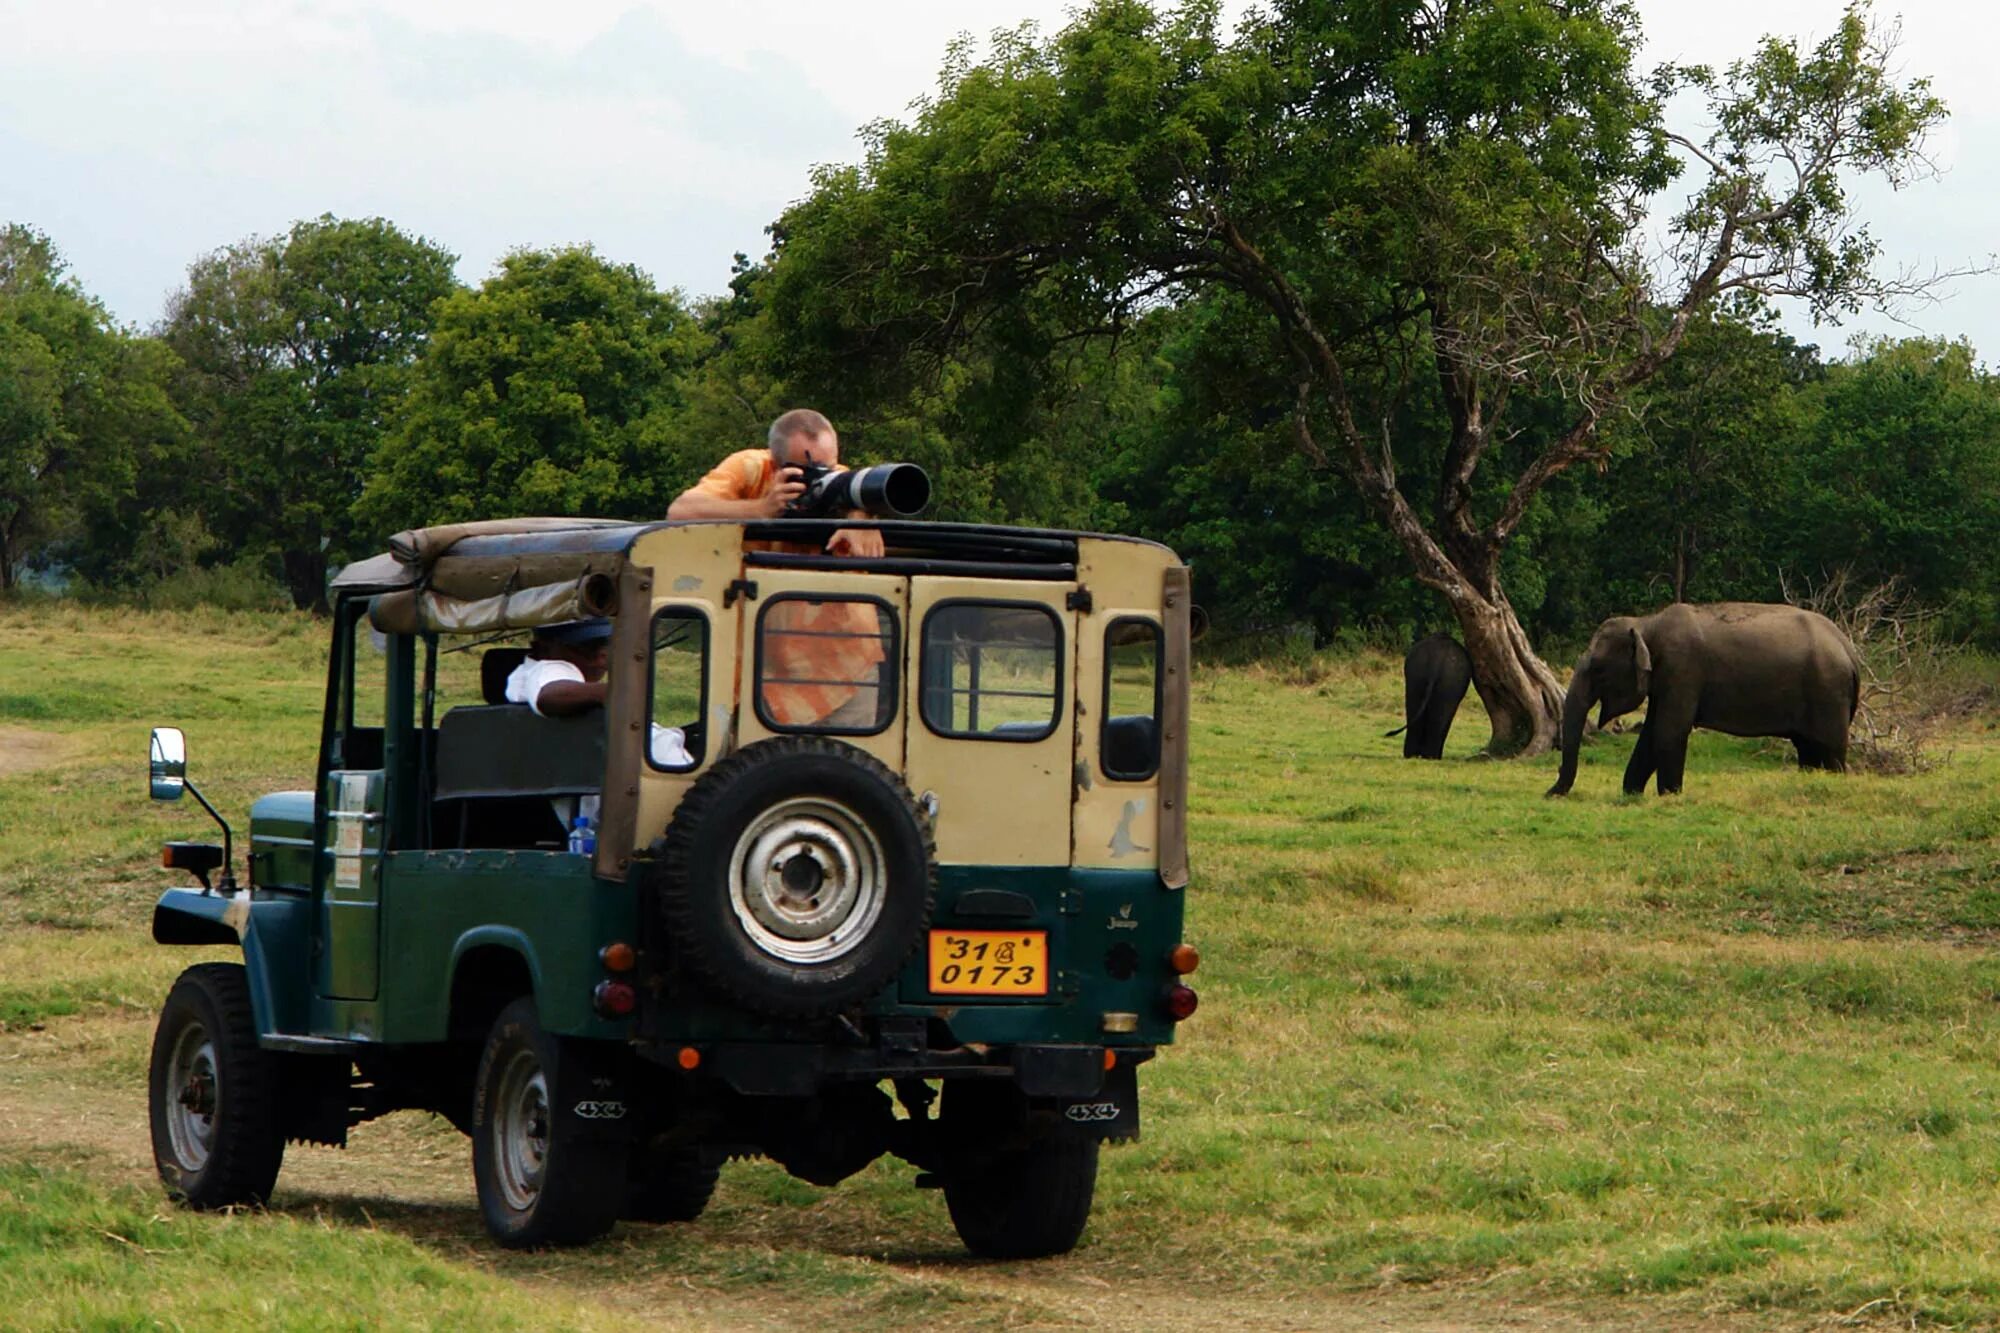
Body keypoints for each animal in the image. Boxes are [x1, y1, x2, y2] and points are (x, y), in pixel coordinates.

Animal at [1544, 604, 1856, 800]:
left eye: (1598, 669)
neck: (1647, 622)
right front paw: (1632, 794)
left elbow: (1669, 731)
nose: (1548, 794)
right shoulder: (1665, 680)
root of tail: (1850, 650)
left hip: (1829, 694)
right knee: (1808, 749)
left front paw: (1669, 795)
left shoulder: (1682, 670)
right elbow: (1650, 732)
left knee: (1829, 751)